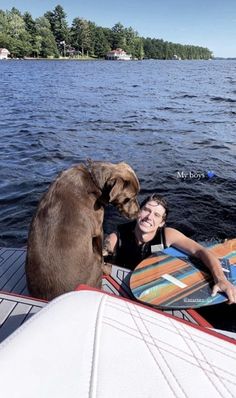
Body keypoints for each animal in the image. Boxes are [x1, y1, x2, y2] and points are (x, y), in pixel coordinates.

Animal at [25, 160, 140, 300]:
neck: (93, 179)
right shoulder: (98, 229)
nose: (138, 213)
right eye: (128, 198)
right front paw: (106, 265)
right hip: (94, 264)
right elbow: (101, 255)